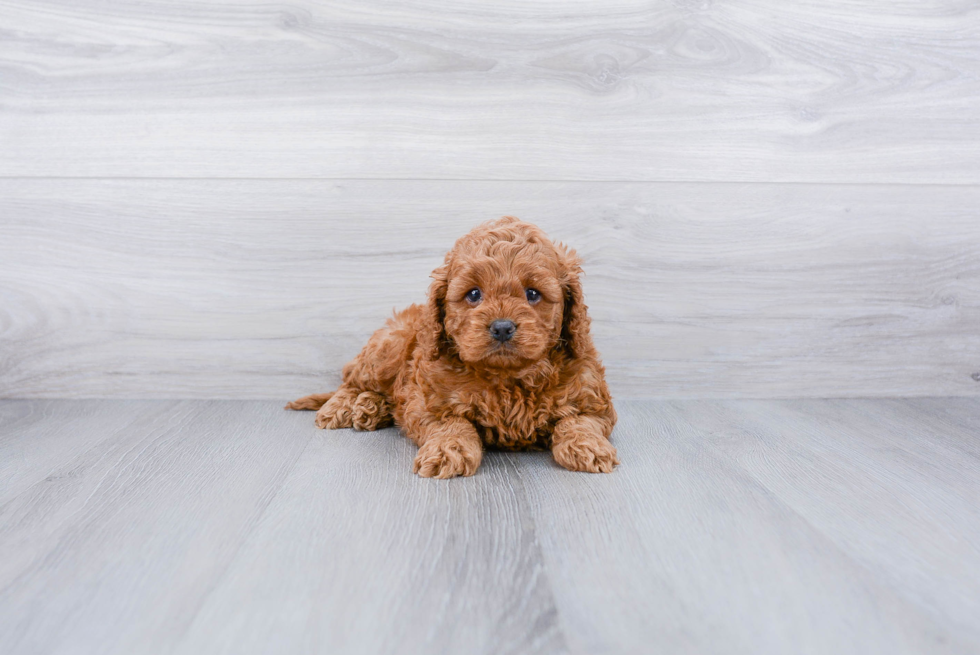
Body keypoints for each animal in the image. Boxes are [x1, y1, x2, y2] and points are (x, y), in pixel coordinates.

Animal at [286, 218, 620, 480]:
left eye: (533, 294)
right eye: (473, 294)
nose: (502, 327)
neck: (508, 378)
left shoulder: (594, 401)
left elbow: (578, 421)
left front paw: (588, 446)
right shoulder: (428, 404)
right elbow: (453, 423)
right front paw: (449, 450)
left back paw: (372, 408)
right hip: (388, 347)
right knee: (352, 379)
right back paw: (344, 406)